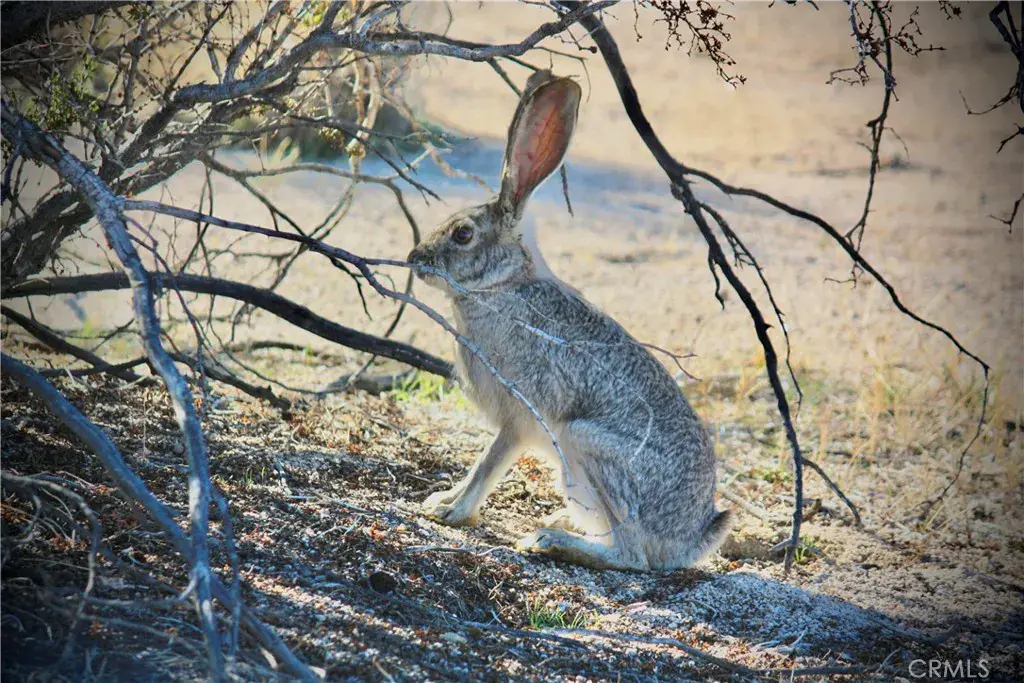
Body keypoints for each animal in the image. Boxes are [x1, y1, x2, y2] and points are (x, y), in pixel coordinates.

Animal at [407, 70, 731, 571]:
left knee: (633, 557)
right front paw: (440, 499)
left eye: (462, 234)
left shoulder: (519, 416)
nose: (415, 258)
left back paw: (549, 539)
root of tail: (691, 539)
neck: (505, 285)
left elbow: (487, 463)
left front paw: (450, 512)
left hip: (589, 445)